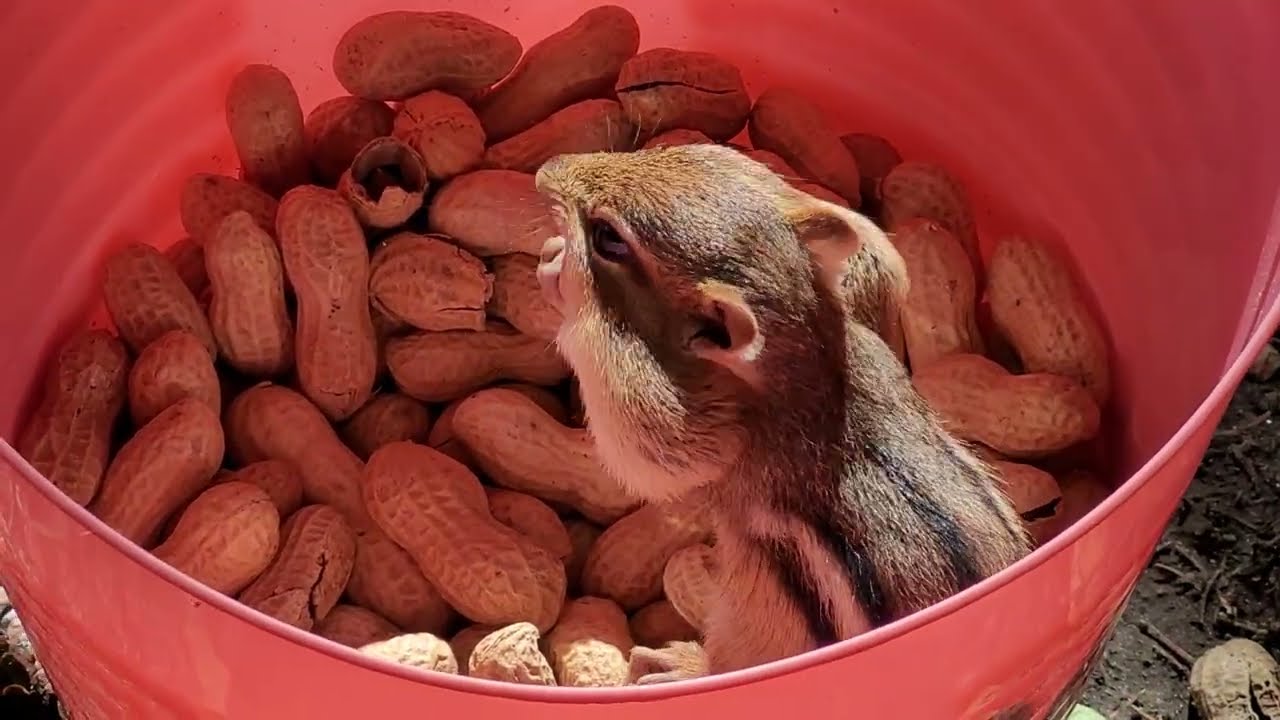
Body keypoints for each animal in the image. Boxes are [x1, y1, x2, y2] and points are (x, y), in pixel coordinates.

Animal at [533, 143, 1031, 684]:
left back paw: (677, 665)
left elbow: (645, 443)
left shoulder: (691, 431)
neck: (803, 355)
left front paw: (559, 278)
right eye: (689, 151)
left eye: (608, 237)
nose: (546, 170)